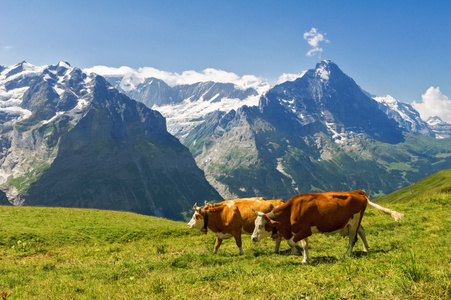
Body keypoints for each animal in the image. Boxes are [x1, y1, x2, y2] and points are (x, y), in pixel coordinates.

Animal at [251, 191, 406, 264]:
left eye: (261, 225)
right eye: (254, 224)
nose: (252, 238)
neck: (291, 211)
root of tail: (357, 192)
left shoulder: (305, 230)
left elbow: (290, 242)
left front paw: (296, 252)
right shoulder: (301, 230)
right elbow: (304, 245)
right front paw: (304, 259)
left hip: (354, 222)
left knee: (353, 239)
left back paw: (346, 255)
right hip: (353, 222)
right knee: (362, 232)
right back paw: (366, 249)